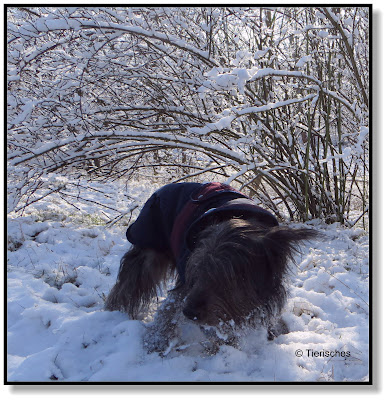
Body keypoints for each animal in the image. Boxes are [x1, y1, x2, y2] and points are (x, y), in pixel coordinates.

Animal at [107, 181, 318, 354]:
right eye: (197, 271)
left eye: (226, 276)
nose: (189, 313)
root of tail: (162, 188)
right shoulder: (185, 285)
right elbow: (169, 311)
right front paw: (156, 342)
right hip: (148, 253)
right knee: (128, 286)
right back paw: (114, 313)